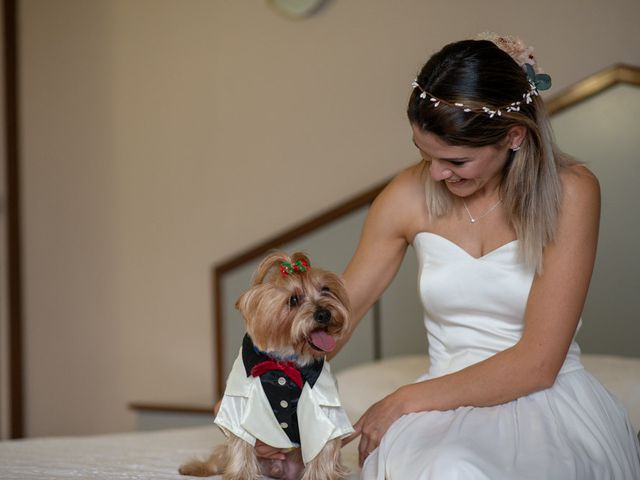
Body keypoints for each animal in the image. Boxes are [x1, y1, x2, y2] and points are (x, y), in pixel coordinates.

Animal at [178, 253, 352, 478]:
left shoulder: (327, 415)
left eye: (326, 289)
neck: (285, 363)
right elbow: (240, 445)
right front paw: (240, 475)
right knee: (219, 457)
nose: (324, 314)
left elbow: (323, 451)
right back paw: (195, 468)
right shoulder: (238, 407)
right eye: (293, 300)